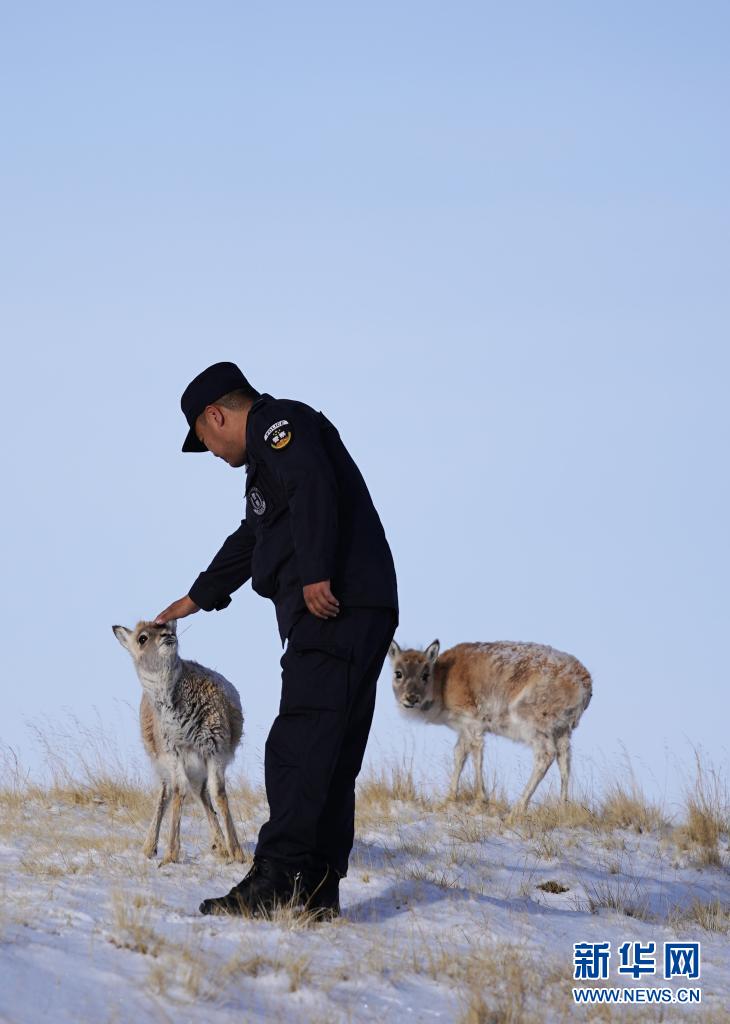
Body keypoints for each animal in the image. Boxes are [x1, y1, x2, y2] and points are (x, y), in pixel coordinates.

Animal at [112, 619, 245, 864]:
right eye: (142, 638)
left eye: (168, 627)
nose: (167, 635)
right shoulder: (172, 755)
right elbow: (177, 790)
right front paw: (171, 854)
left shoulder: (215, 751)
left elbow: (218, 793)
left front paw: (237, 852)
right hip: (165, 766)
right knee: (167, 794)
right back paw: (149, 848)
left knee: (201, 793)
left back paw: (220, 846)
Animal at [388, 639, 592, 814]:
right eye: (398, 673)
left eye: (425, 674)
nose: (411, 698)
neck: (443, 679)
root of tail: (585, 681)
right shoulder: (463, 728)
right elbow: (459, 754)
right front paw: (449, 799)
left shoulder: (473, 723)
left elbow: (476, 754)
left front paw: (480, 801)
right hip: (563, 731)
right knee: (564, 758)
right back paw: (562, 807)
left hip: (532, 722)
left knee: (545, 755)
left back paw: (518, 809)